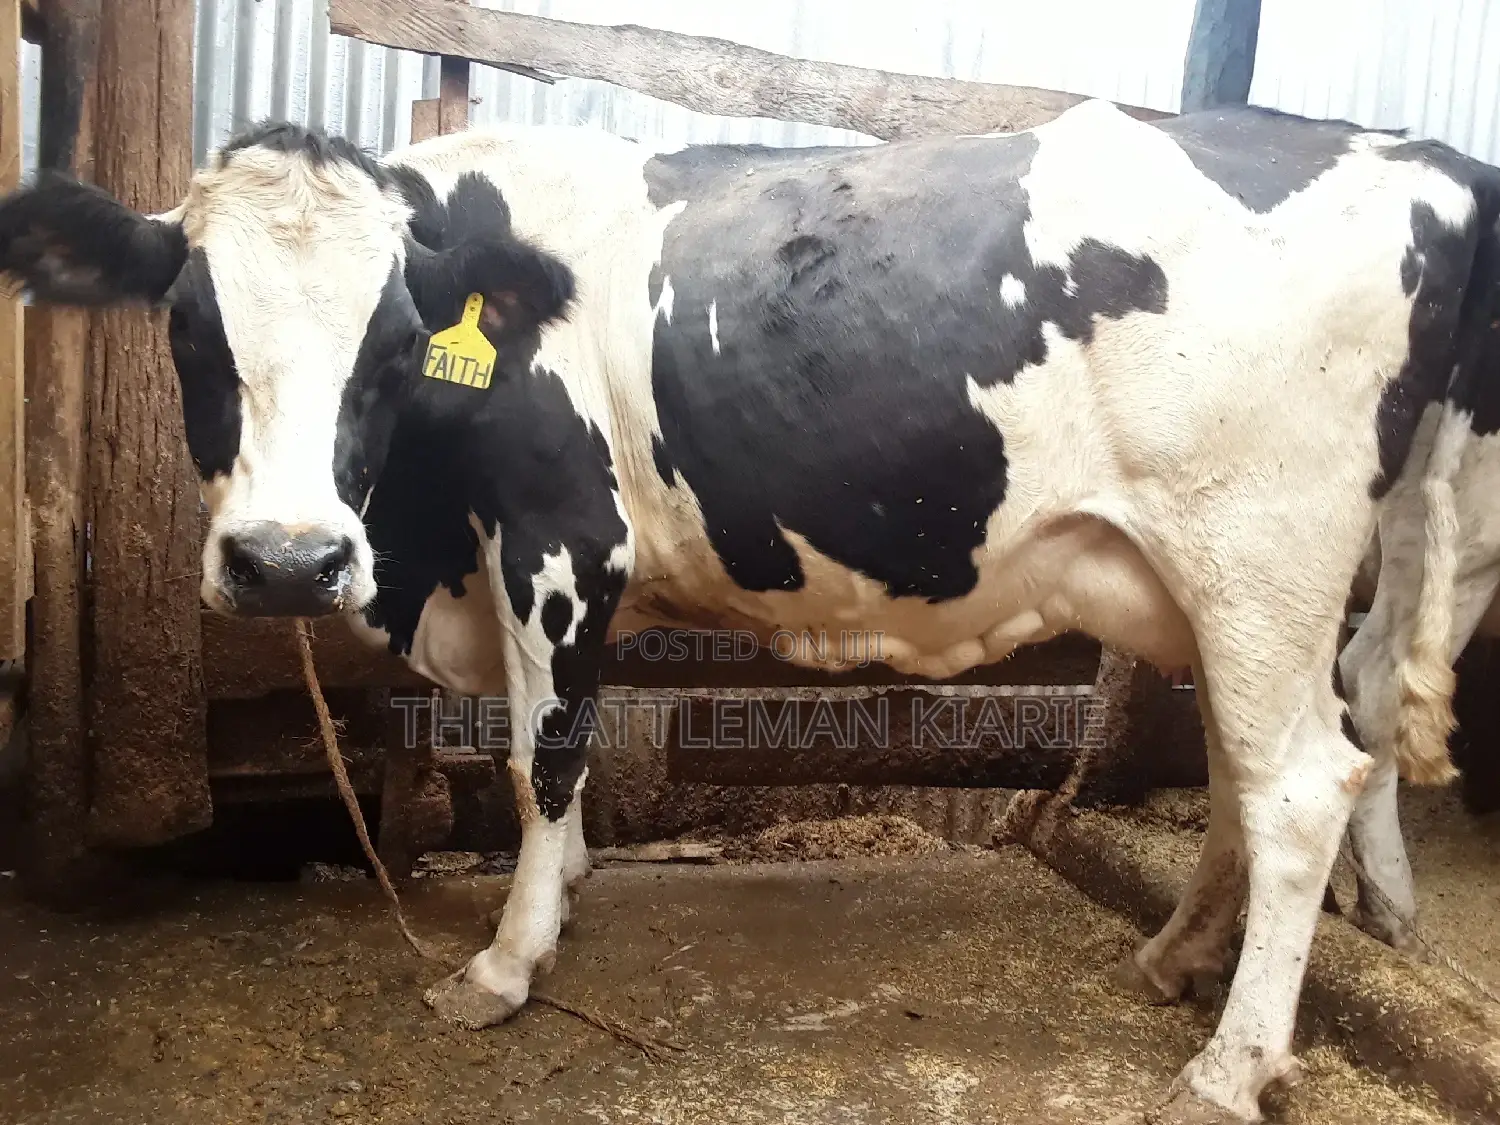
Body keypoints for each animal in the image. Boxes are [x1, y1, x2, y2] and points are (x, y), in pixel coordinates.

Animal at [1, 100, 1495, 1123]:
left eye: (396, 340)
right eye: (189, 327)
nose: (290, 562)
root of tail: (1421, 158)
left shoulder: (560, 537)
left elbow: (543, 754)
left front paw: (509, 961)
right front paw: (563, 892)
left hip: (1259, 549)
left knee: (1301, 782)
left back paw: (1228, 1066)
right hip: (1217, 586)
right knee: (1253, 766)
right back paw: (1177, 956)